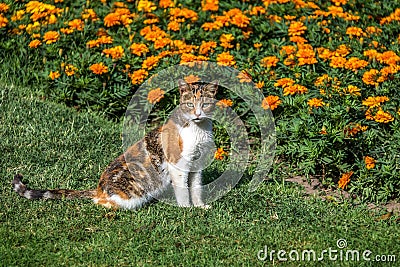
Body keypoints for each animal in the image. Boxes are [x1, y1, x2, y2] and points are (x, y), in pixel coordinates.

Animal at [11, 79, 219, 209]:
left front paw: (199, 207)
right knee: (100, 202)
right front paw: (186, 209)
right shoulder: (178, 165)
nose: (198, 114)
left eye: (205, 105)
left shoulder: (197, 166)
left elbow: (196, 188)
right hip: (132, 192)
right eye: (190, 105)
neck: (199, 130)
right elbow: (183, 189)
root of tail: (98, 188)